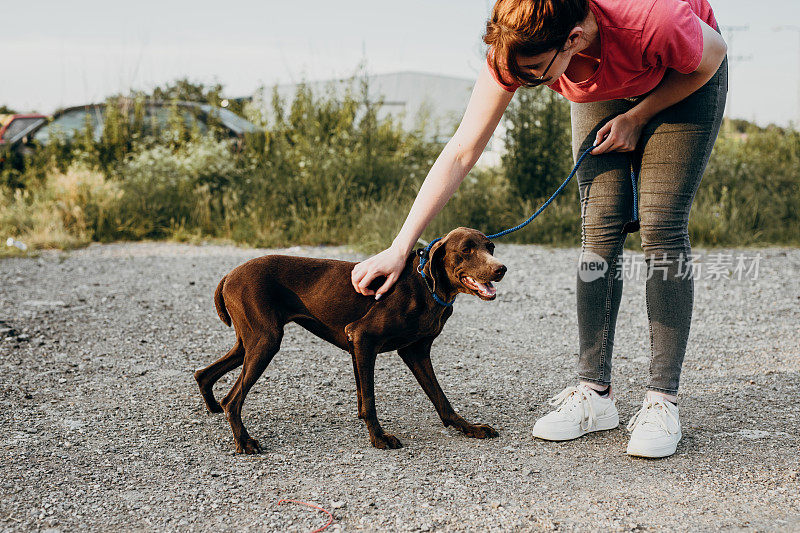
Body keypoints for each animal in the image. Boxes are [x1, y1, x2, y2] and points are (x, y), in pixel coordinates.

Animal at [194, 225, 506, 454]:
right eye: (466, 250)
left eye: (490, 247)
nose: (500, 269)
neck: (426, 286)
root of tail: (229, 275)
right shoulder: (363, 338)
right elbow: (369, 399)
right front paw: (379, 437)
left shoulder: (414, 352)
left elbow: (441, 400)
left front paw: (469, 427)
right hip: (266, 341)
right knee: (232, 399)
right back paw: (244, 442)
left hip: (249, 343)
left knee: (204, 375)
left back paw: (213, 409)